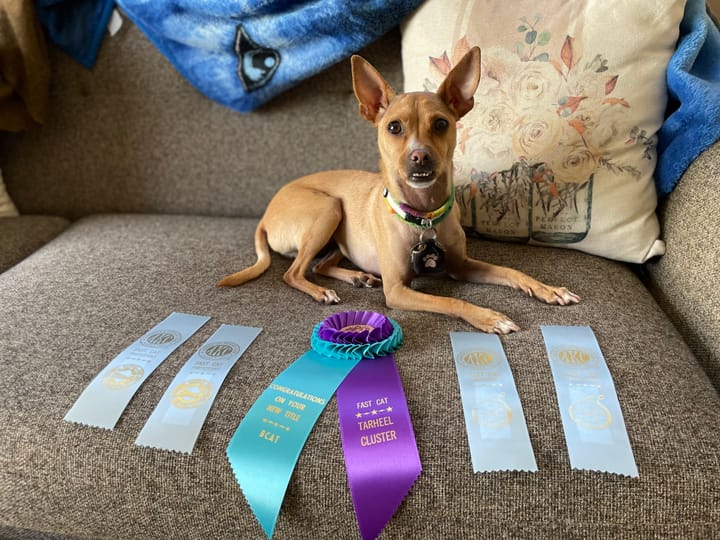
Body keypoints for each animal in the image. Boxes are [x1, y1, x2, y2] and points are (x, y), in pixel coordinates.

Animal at [219, 47, 580, 334]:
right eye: (393, 127)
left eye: (441, 124)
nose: (420, 156)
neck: (424, 214)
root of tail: (265, 216)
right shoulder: (396, 290)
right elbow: (449, 302)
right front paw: (490, 317)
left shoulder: (461, 265)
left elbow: (511, 271)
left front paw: (548, 289)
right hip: (328, 209)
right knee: (293, 273)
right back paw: (322, 291)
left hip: (336, 229)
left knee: (318, 265)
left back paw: (357, 277)